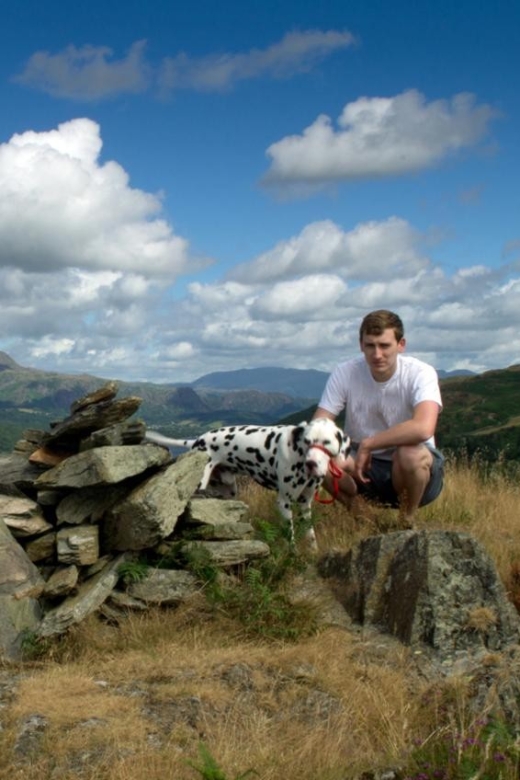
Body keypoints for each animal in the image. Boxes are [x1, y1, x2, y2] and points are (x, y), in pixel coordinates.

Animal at [144, 420, 352, 548]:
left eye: (326, 442)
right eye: (307, 441)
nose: (311, 464)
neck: (297, 452)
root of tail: (198, 441)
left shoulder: (305, 503)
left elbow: (310, 535)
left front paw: (313, 552)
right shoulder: (284, 502)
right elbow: (290, 537)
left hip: (228, 492)